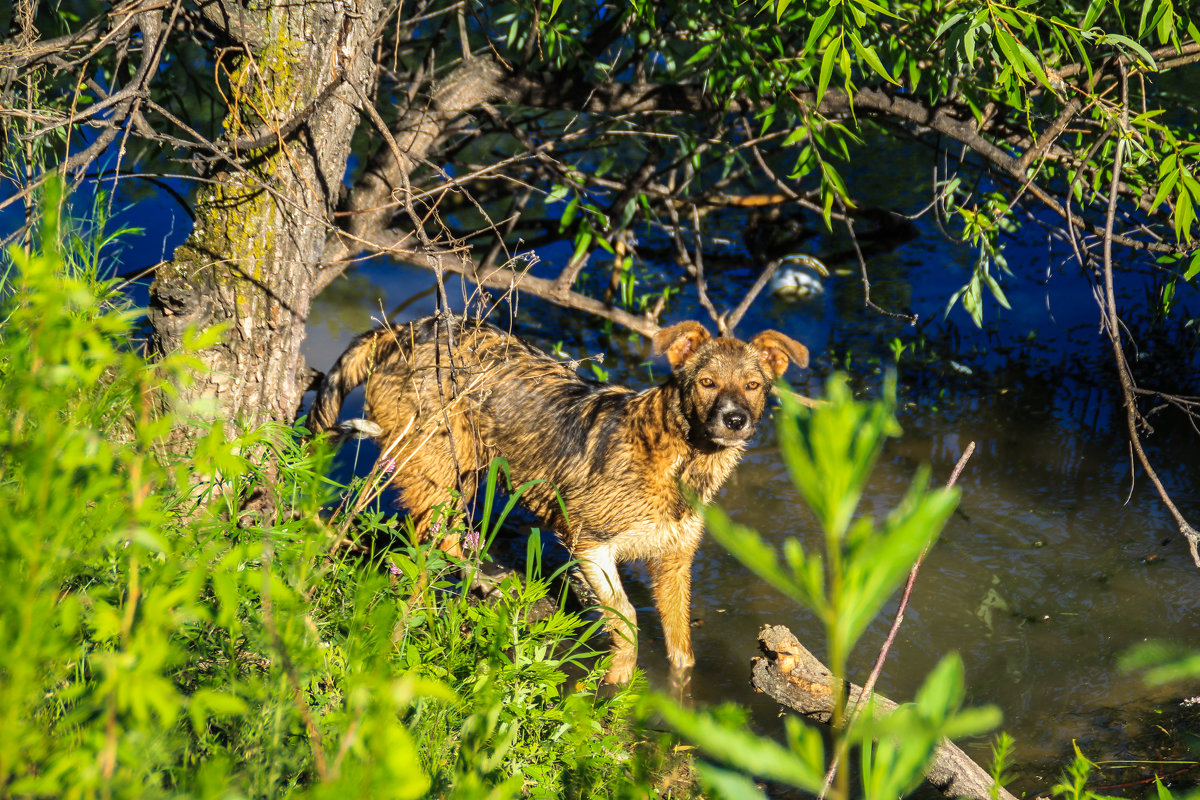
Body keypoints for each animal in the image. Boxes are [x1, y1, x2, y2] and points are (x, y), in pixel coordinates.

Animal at [314, 316, 811, 686]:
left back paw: (481, 584)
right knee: (425, 542)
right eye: (707, 382)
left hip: (463, 470)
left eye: (753, 385)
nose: (735, 420)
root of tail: (402, 330)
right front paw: (618, 680)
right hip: (434, 467)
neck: (681, 460)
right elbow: (626, 617)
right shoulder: (590, 544)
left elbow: (681, 647)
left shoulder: (674, 562)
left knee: (448, 538)